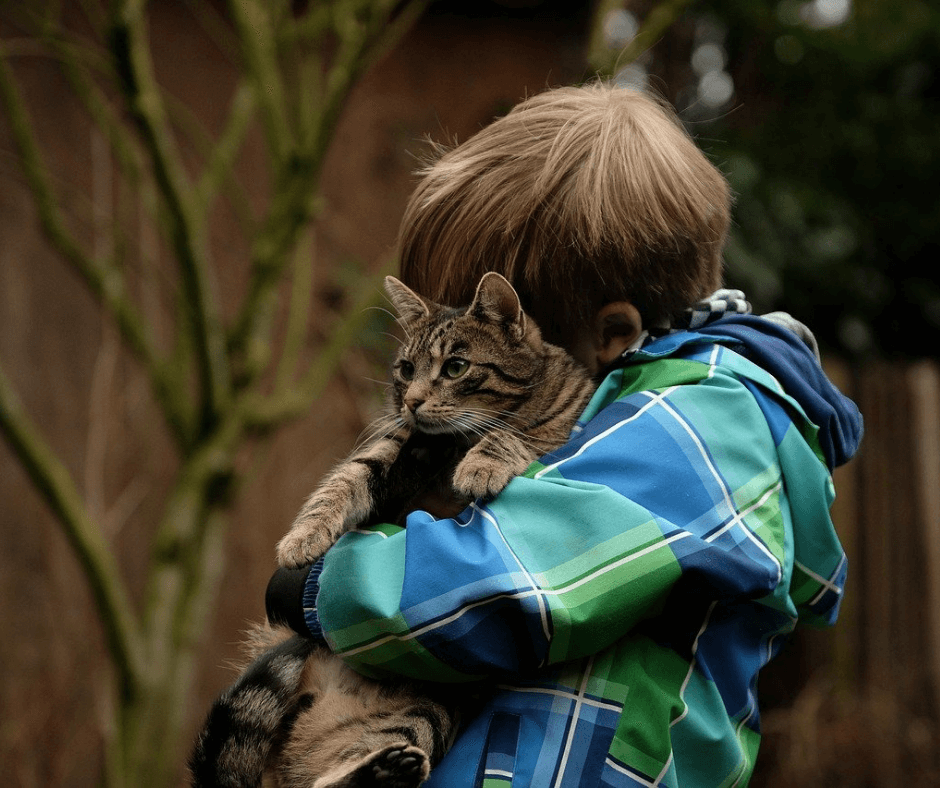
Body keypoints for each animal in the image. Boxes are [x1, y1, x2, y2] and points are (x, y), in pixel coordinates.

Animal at [191, 272, 596, 788]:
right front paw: (302, 537)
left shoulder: (556, 427)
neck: (449, 447)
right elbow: (343, 481)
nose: (412, 400)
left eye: (455, 367)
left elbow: (516, 433)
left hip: (429, 711)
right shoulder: (393, 445)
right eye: (406, 368)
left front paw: (481, 464)